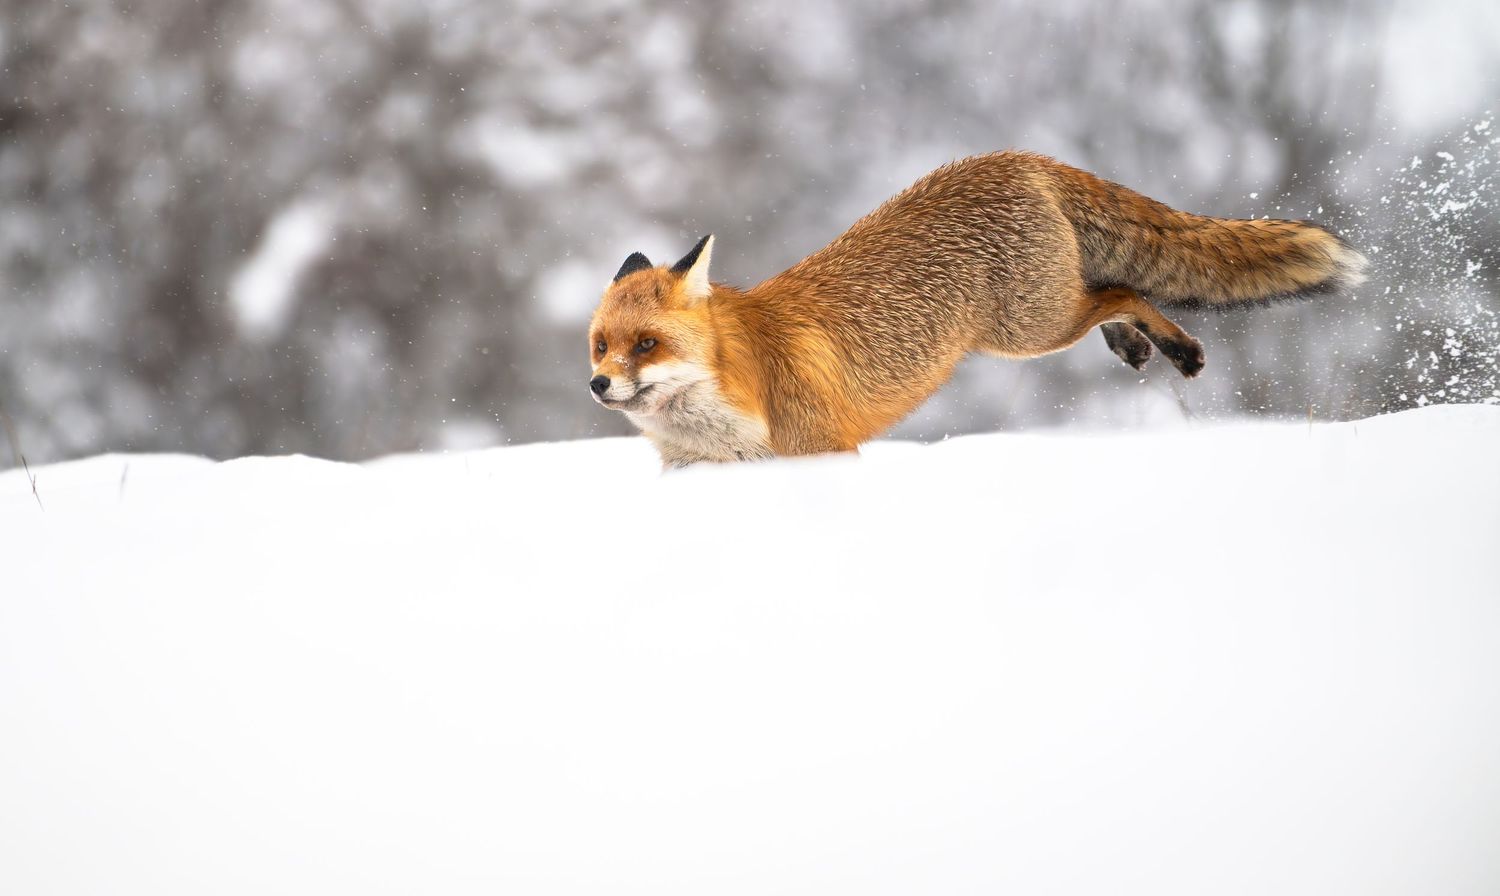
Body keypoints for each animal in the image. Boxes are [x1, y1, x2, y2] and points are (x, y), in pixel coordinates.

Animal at [587, 151, 1367, 467]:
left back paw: (1174, 347)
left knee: (1121, 291)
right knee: (1113, 296)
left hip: (1027, 329)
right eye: (600, 346)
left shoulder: (824, 452)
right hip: (1039, 319)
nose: (597, 385)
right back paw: (1138, 345)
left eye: (647, 344)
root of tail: (1016, 156)